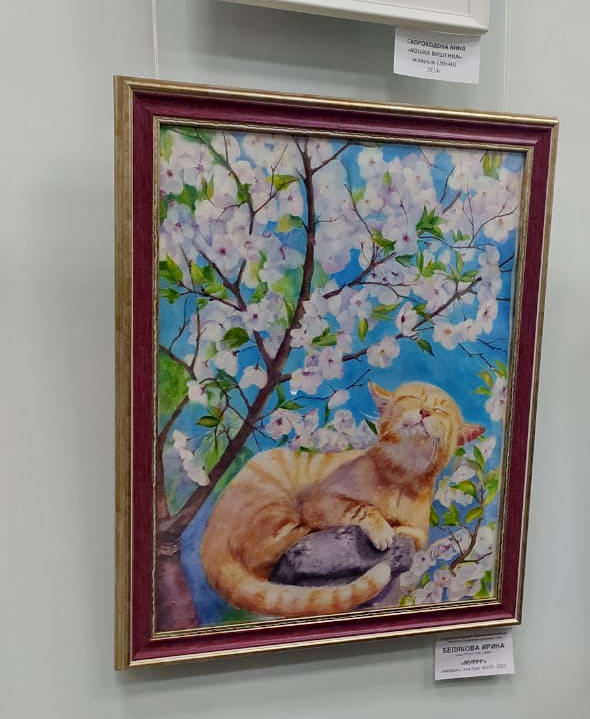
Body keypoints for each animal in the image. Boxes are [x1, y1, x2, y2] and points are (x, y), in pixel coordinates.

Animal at [200, 381, 484, 618]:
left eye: (440, 410)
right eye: (413, 398)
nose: (425, 412)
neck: (403, 475)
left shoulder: (419, 532)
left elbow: (413, 535)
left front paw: (395, 530)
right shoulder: (318, 500)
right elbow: (360, 507)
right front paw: (382, 529)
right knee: (271, 550)